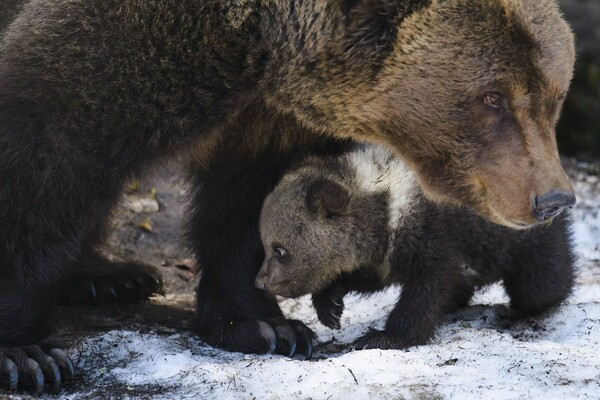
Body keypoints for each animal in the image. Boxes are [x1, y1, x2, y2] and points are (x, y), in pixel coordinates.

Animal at [1, 0, 576, 394]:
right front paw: (26, 356)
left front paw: (267, 325)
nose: (552, 199)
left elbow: (244, 200)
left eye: (555, 94)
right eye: (492, 97)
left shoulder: (267, 114)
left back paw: (114, 277)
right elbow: (43, 154)